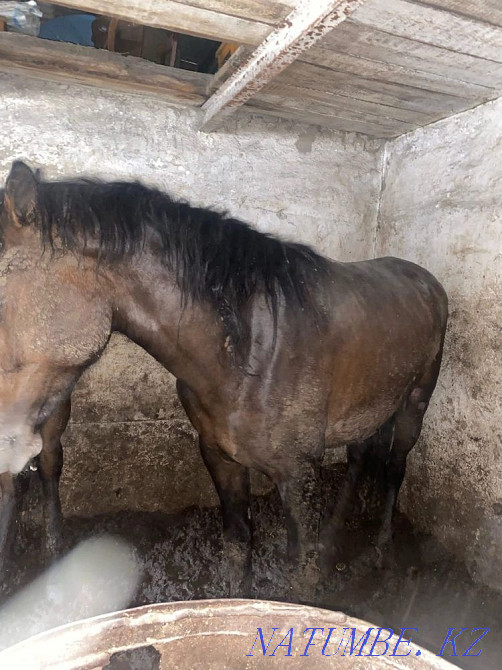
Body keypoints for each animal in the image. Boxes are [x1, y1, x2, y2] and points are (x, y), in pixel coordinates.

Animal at [0, 161, 448, 601]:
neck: (248, 352)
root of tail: (425, 279)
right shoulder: (220, 457)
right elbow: (237, 547)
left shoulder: (298, 473)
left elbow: (301, 576)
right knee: (359, 459)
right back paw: (334, 536)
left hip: (415, 403)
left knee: (394, 467)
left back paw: (381, 552)